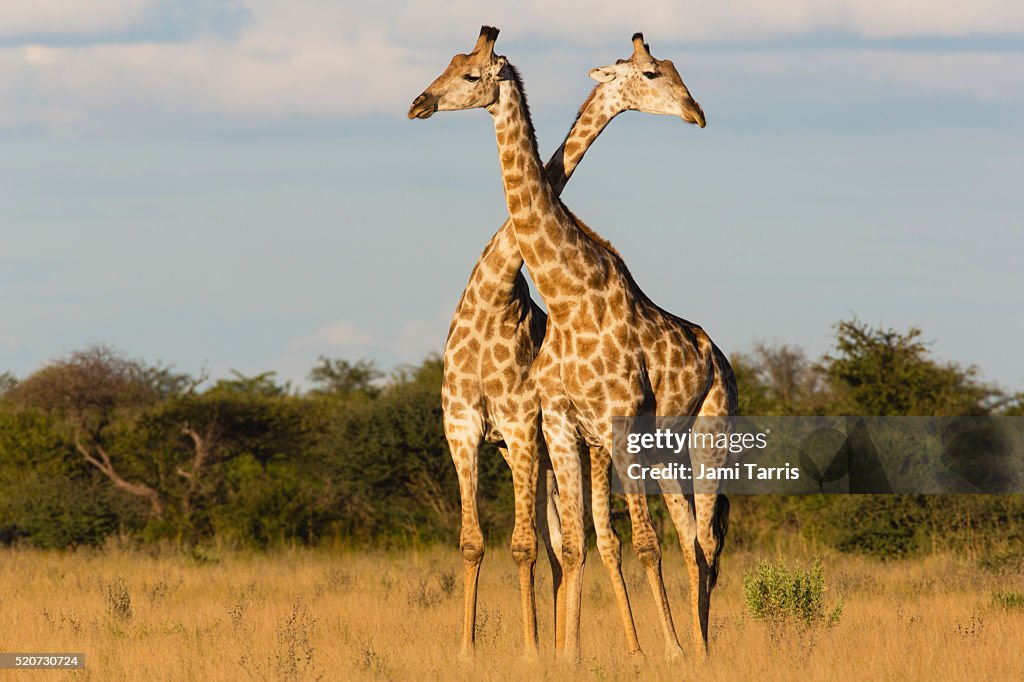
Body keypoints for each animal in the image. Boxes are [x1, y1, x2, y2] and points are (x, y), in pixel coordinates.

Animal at [409, 27, 736, 662]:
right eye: (655, 73)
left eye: (470, 74)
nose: (697, 112)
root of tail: (719, 355)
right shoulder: (498, 425)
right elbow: (520, 543)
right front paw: (518, 653)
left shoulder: (566, 423)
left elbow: (625, 542)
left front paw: (649, 653)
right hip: (656, 450)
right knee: (678, 538)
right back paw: (688, 643)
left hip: (707, 436)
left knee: (701, 539)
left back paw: (698, 649)